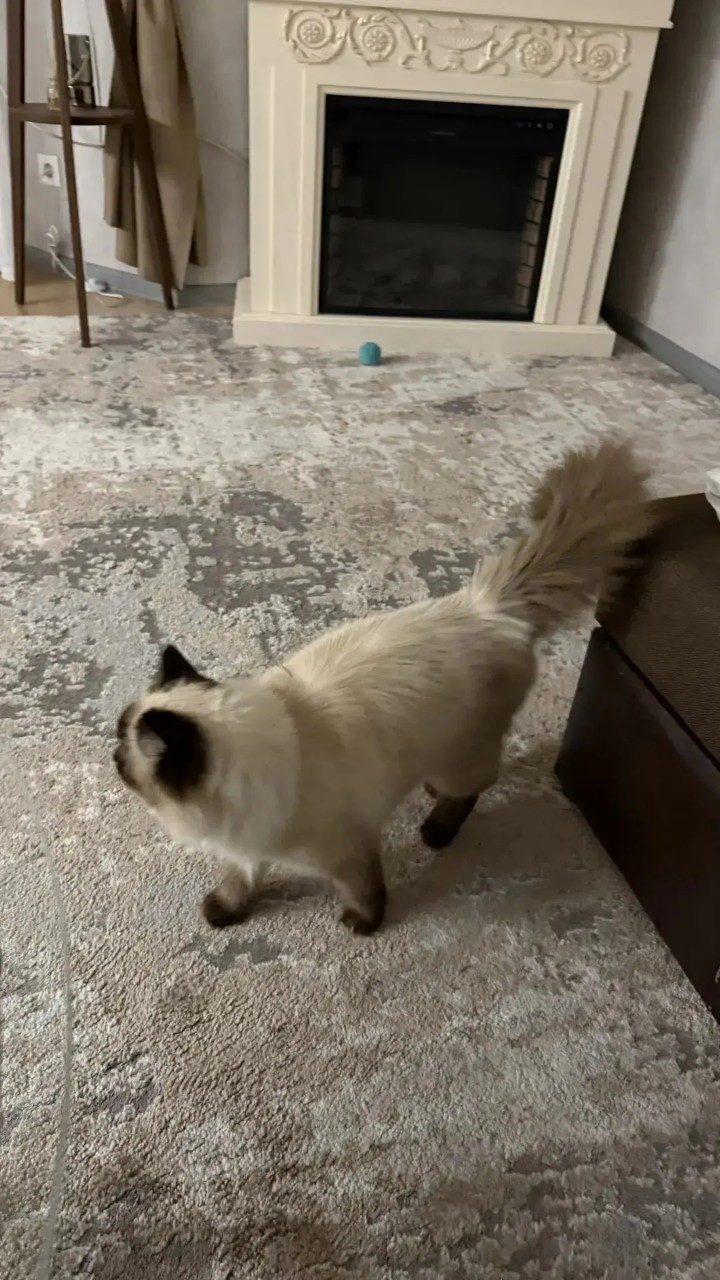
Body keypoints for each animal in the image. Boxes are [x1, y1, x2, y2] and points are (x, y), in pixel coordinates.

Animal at [114, 439, 651, 935]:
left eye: (122, 752)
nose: (112, 755)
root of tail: (485, 605)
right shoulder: (249, 847)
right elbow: (241, 879)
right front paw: (224, 911)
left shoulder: (348, 849)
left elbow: (365, 890)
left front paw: (364, 924)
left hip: (463, 754)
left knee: (471, 789)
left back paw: (436, 833)